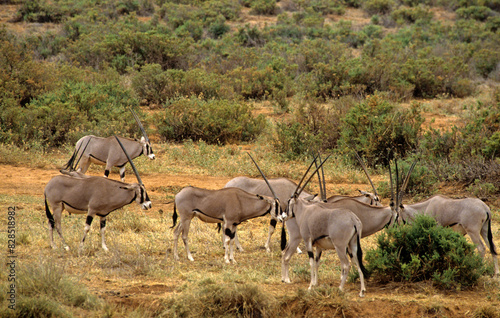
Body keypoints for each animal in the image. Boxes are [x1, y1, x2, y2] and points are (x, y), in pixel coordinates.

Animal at [280, 155, 370, 296]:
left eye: (289, 201)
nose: (284, 216)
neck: (304, 210)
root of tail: (353, 219)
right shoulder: (319, 246)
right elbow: (317, 263)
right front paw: (315, 284)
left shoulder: (307, 241)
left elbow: (311, 262)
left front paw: (310, 286)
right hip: (353, 245)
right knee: (358, 264)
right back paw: (362, 291)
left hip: (340, 246)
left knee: (346, 265)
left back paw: (340, 288)